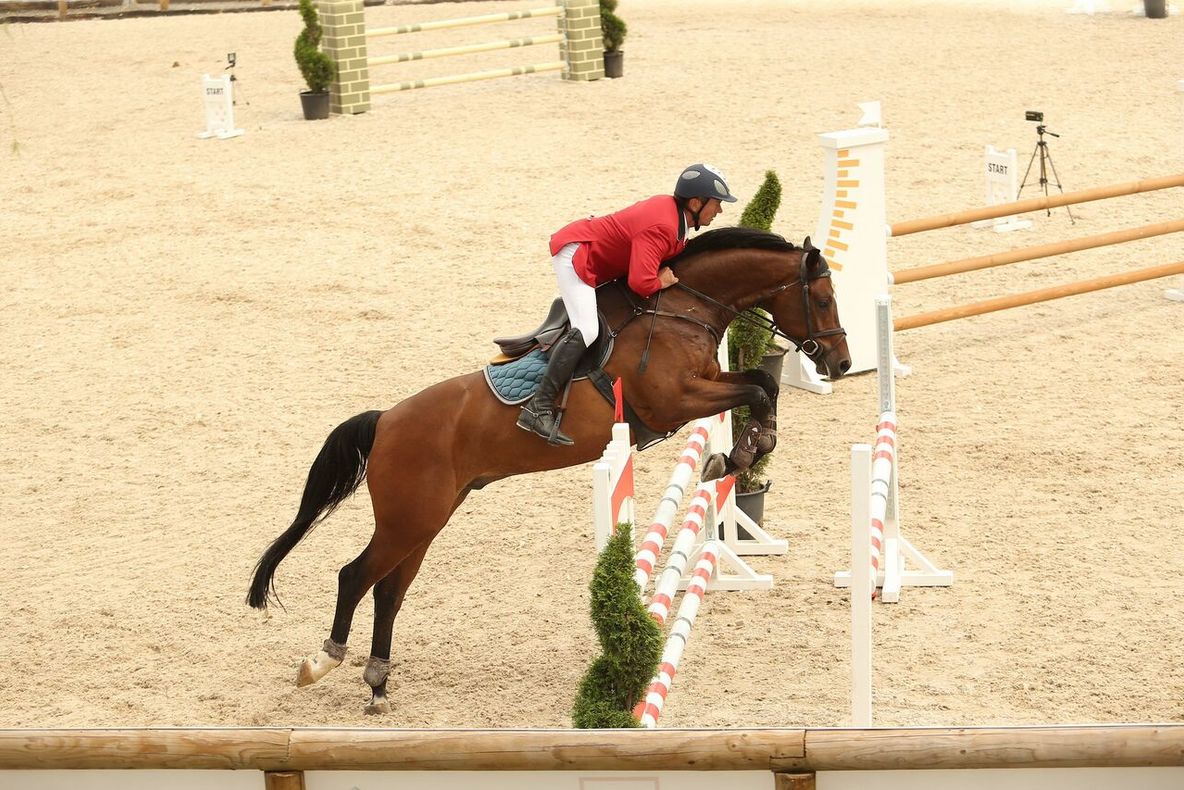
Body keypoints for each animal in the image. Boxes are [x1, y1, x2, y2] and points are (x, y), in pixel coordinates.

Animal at [246, 226, 852, 714]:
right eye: (823, 299)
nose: (840, 363)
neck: (682, 307)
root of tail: (385, 421)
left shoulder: (706, 383)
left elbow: (762, 382)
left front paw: (741, 450)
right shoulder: (673, 400)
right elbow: (759, 387)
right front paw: (741, 452)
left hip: (426, 520)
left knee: (388, 590)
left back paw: (377, 684)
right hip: (408, 519)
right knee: (355, 577)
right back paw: (322, 663)